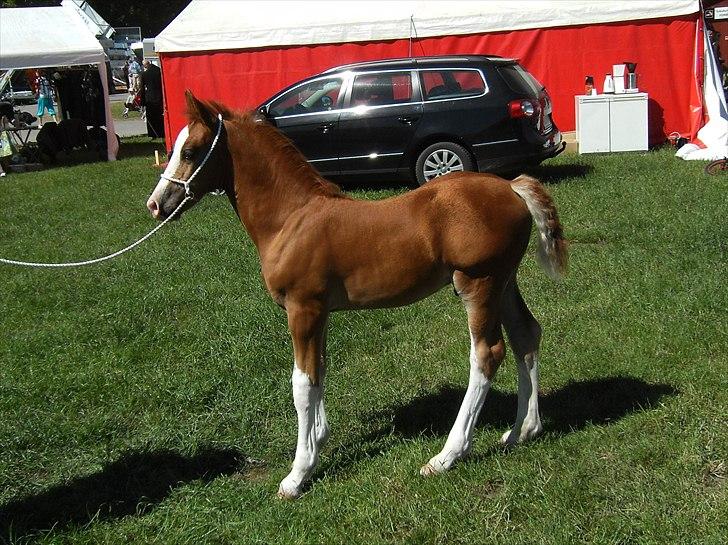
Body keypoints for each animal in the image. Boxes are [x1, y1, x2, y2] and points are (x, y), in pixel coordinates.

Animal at [148, 92, 568, 498]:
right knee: (526, 335)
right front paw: (318, 441)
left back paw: (447, 455)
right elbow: (319, 371)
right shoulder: (320, 312)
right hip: (504, 283)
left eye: (190, 151)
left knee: (487, 354)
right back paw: (522, 431)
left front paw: (298, 474)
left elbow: (302, 384)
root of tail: (511, 187)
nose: (156, 204)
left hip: (479, 284)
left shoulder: (302, 308)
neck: (292, 219)